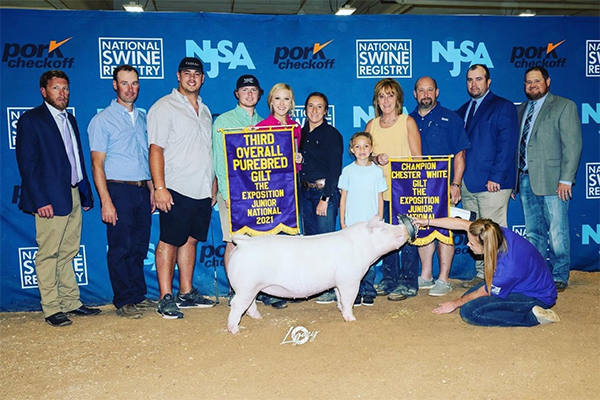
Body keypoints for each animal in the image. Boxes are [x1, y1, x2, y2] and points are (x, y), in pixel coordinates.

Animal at [226, 215, 415, 334]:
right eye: (383, 229)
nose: (404, 227)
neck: (363, 247)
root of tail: (244, 243)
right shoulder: (350, 279)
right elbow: (349, 299)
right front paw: (351, 319)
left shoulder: (338, 282)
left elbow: (339, 297)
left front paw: (340, 309)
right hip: (246, 286)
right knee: (237, 304)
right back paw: (234, 330)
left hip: (250, 288)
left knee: (249, 305)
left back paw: (258, 317)